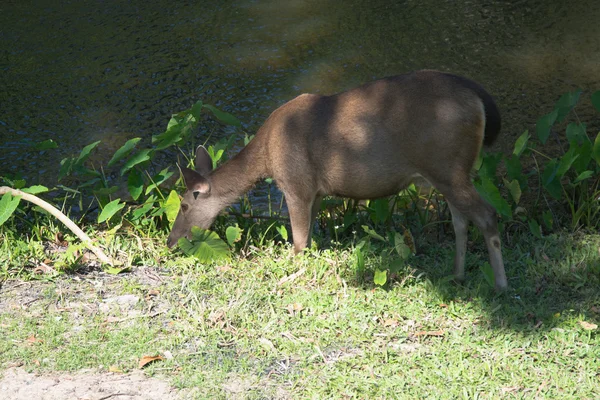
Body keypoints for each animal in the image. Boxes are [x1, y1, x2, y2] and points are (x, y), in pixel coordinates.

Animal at [166, 70, 508, 290]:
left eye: (183, 205)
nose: (170, 241)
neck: (266, 157)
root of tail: (480, 101)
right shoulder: (316, 192)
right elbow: (310, 239)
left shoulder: (296, 184)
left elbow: (299, 243)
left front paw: (291, 278)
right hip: (451, 172)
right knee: (461, 221)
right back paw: (457, 276)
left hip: (445, 165)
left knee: (487, 214)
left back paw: (500, 285)